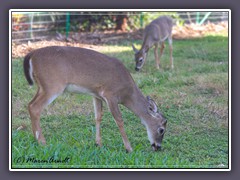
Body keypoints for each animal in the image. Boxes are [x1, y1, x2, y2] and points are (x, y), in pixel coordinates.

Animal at [23, 45, 167, 153]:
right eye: (161, 129)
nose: (158, 147)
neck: (126, 93)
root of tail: (32, 55)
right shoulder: (110, 94)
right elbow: (119, 120)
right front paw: (129, 148)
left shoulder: (96, 94)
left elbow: (98, 116)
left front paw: (98, 143)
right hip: (53, 85)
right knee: (35, 107)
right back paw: (42, 141)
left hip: (42, 86)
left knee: (30, 104)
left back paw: (36, 139)